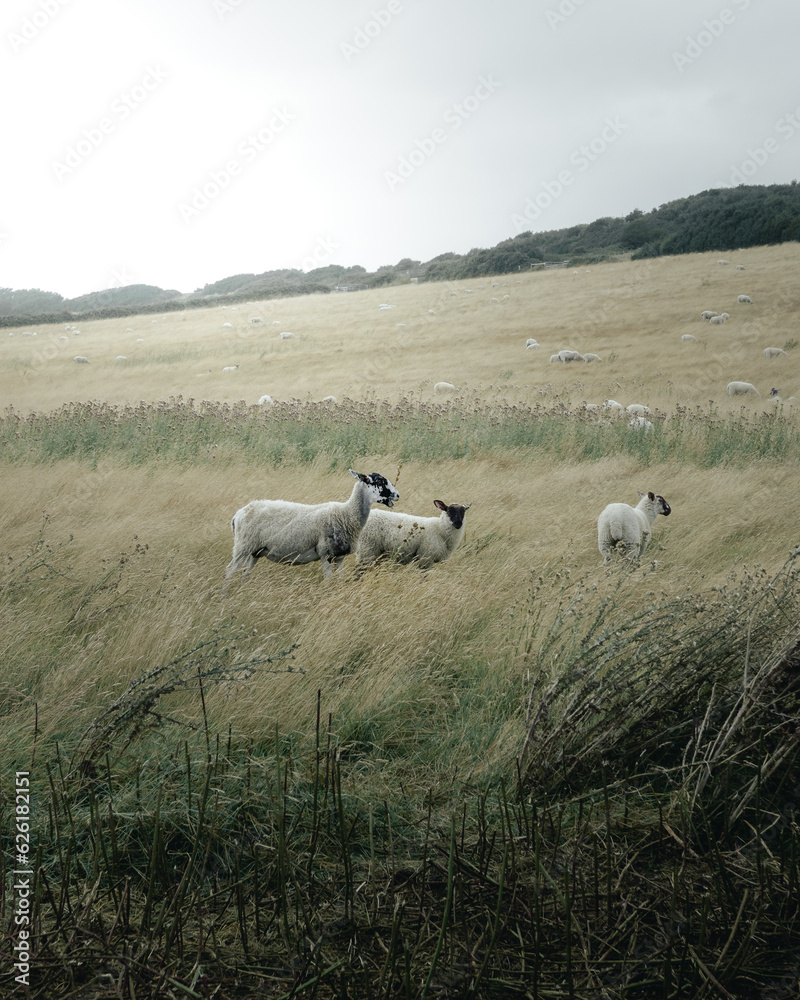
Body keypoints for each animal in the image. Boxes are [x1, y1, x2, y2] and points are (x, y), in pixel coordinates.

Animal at [225, 469, 400, 580]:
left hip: (255, 551)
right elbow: (329, 580)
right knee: (229, 571)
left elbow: (340, 580)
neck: (346, 514)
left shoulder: (339, 556)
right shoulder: (325, 554)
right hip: (243, 546)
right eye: (379, 481)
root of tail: (237, 514)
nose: (397, 495)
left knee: (245, 574)